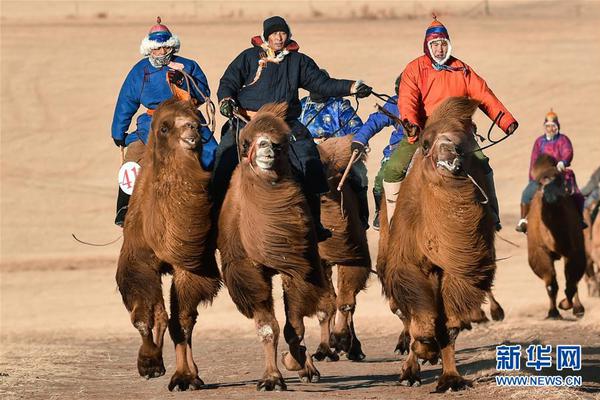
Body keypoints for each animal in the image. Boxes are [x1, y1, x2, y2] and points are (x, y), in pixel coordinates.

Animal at [116, 98, 221, 392]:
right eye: (164, 127)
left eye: (197, 119)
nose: (192, 129)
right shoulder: (137, 260)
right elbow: (143, 317)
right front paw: (149, 363)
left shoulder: (190, 267)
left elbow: (181, 321)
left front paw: (184, 376)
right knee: (160, 313)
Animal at [218, 102, 326, 390]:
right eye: (249, 142)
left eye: (282, 143)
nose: (268, 147)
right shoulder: (249, 271)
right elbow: (268, 327)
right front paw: (272, 378)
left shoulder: (296, 265)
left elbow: (295, 324)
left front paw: (295, 360)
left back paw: (308, 367)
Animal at [312, 135, 372, 362]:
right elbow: (325, 306)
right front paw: (323, 349)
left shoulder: (355, 256)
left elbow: (345, 301)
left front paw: (341, 339)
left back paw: (353, 348)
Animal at [380, 97, 496, 390]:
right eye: (425, 143)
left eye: (464, 143)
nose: (449, 152)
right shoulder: (407, 263)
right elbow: (420, 312)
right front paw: (423, 351)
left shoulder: (463, 269)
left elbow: (451, 324)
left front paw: (452, 378)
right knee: (403, 312)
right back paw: (410, 369)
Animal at [524, 154, 584, 318]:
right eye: (540, 183)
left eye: (560, 180)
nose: (551, 196)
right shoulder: (539, 251)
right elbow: (551, 283)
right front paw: (553, 313)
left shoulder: (574, 250)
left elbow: (571, 282)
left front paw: (565, 305)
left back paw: (578, 308)